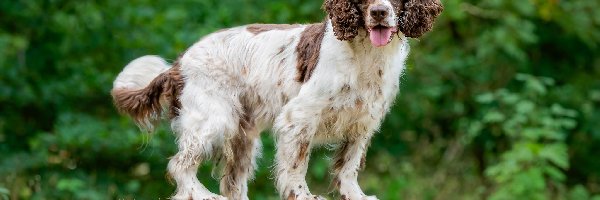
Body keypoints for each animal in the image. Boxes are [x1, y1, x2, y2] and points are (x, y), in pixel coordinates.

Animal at [111, 0, 440, 198]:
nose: (379, 12)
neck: (366, 56)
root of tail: (177, 65)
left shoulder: (362, 123)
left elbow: (348, 168)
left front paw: (355, 196)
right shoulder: (298, 118)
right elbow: (296, 167)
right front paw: (305, 196)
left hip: (242, 138)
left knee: (232, 184)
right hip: (213, 119)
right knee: (180, 166)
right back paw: (202, 195)